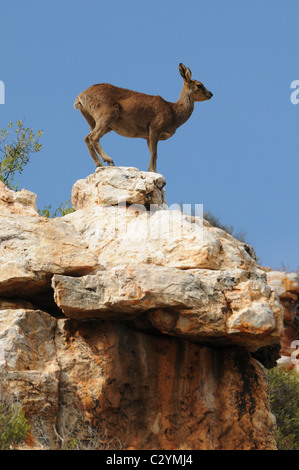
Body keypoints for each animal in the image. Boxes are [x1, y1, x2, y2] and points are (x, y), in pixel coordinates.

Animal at [74, 63, 213, 173]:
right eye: (199, 85)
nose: (211, 93)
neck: (173, 111)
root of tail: (80, 97)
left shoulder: (147, 136)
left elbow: (153, 153)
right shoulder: (155, 128)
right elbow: (155, 153)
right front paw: (153, 171)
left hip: (99, 123)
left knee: (87, 138)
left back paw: (100, 164)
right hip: (107, 115)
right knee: (93, 137)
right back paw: (109, 160)